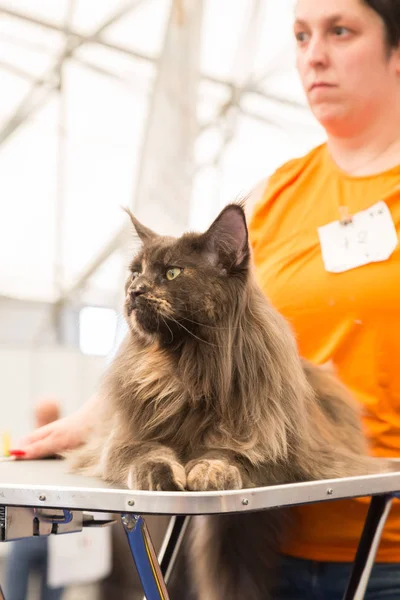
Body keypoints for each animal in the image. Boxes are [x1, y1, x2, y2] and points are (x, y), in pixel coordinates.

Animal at [68, 203, 390, 600]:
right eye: (135, 273)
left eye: (172, 273)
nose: (135, 291)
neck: (186, 369)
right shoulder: (124, 440)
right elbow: (148, 455)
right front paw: (162, 475)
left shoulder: (278, 451)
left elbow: (230, 455)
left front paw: (210, 471)